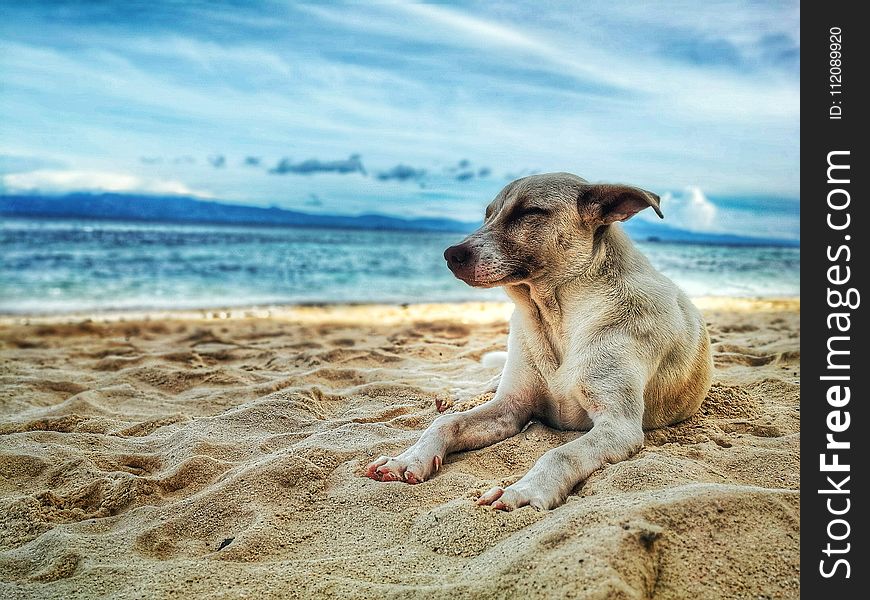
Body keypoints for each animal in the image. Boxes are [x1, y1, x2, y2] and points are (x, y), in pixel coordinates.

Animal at [364, 173, 712, 510]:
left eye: (528, 212)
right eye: (488, 214)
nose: (451, 255)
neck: (554, 318)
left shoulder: (618, 426)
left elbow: (560, 454)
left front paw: (524, 491)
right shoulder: (510, 407)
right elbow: (446, 424)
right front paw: (408, 458)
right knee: (483, 387)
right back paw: (458, 395)